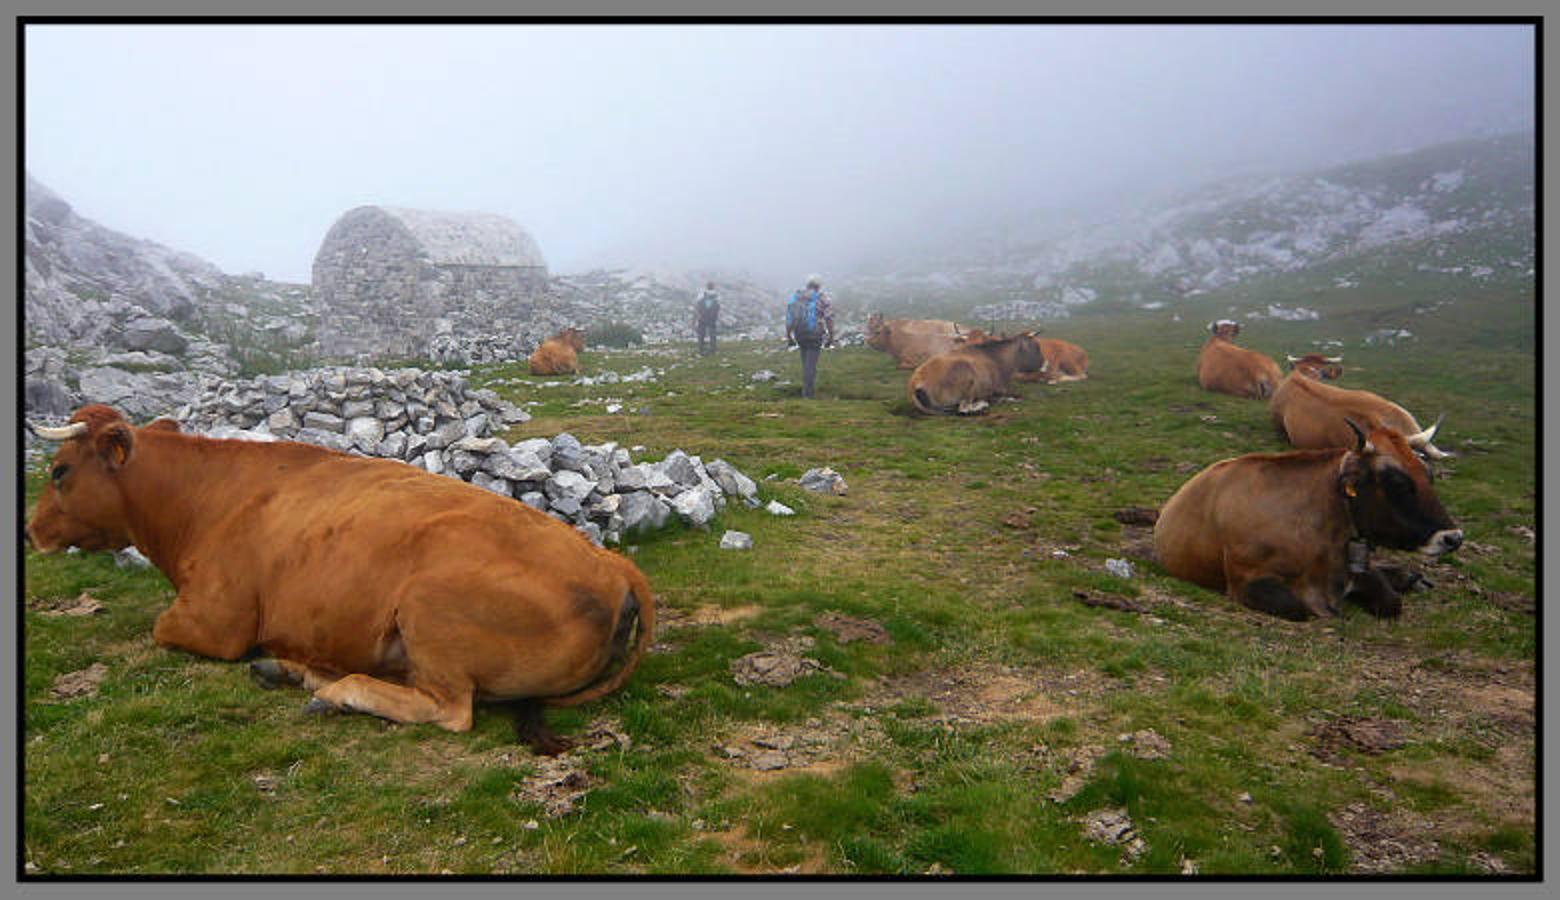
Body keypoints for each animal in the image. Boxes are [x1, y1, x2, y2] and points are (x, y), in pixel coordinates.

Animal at [28, 405, 652, 751]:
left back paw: (334, 692)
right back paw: (292, 670)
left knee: (448, 710)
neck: (200, 502)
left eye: (59, 471)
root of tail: (611, 563)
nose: (31, 530)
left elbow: (160, 629)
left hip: (429, 605)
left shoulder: (215, 620)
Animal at [911, 332, 1042, 411]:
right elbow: (1018, 395)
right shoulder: (1001, 388)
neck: (997, 358)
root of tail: (915, 381)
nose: (1042, 363)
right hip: (966, 375)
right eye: (1036, 346)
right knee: (963, 408)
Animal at [1154, 418, 1453, 617]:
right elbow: (1300, 608)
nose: (1453, 537)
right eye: (1397, 482)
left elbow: (1390, 600)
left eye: (1428, 474)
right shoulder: (1244, 583)